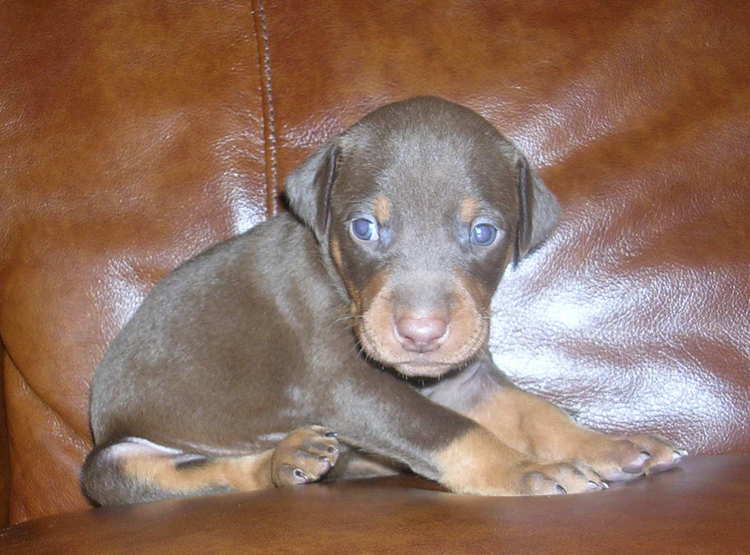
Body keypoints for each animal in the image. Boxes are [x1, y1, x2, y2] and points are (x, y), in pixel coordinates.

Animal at [82, 97, 688, 506]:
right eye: (364, 228)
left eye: (484, 232)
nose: (421, 333)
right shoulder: (348, 384)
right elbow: (448, 430)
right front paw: (525, 473)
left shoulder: (467, 378)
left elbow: (537, 412)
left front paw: (608, 445)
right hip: (113, 465)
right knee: (214, 474)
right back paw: (286, 456)